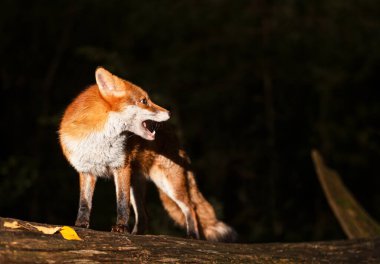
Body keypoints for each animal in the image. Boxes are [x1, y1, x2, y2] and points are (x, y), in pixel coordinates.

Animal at [58, 67, 238, 241]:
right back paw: (137, 233)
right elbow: (84, 203)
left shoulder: (121, 167)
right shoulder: (86, 170)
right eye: (144, 101)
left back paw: (192, 235)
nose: (169, 112)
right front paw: (81, 225)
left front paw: (121, 228)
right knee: (144, 216)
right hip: (136, 185)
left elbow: (121, 203)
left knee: (190, 207)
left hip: (168, 183)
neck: (99, 139)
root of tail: (175, 136)